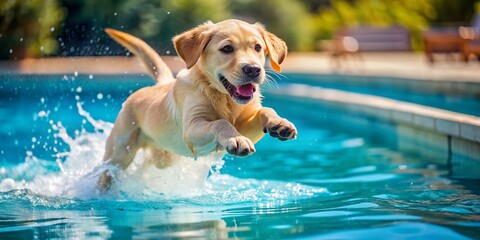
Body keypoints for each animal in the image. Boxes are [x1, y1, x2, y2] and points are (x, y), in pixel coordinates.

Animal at [99, 19, 296, 189]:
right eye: (227, 48)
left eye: (258, 47)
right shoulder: (191, 129)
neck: (223, 97)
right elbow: (220, 122)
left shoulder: (246, 124)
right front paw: (236, 139)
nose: (254, 69)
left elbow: (265, 110)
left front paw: (279, 123)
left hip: (164, 157)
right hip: (120, 152)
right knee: (108, 171)